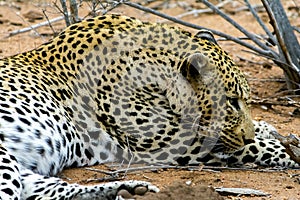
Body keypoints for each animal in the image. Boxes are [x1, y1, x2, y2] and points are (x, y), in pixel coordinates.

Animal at [0, 13, 298, 199]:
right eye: (232, 102)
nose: (246, 134)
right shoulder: (172, 143)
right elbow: (253, 147)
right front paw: (289, 148)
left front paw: (269, 129)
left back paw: (127, 190)